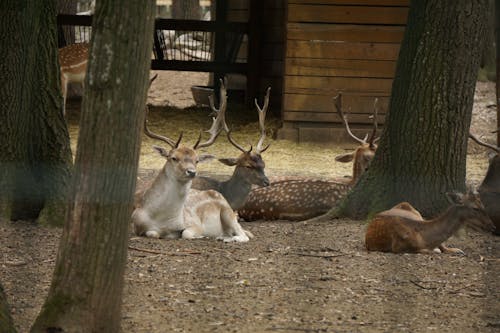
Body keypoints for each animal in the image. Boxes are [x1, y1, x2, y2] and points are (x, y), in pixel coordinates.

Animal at [132, 88, 254, 243]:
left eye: (196, 160)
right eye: (174, 158)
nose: (191, 172)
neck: (161, 218)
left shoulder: (194, 223)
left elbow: (186, 233)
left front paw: (201, 235)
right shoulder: (135, 224)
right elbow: (152, 233)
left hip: (228, 212)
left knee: (244, 235)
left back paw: (225, 238)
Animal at [366, 189, 494, 254]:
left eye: (483, 204)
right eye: (475, 208)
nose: (492, 226)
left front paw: (456, 250)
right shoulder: (398, 247)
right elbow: (434, 251)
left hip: (413, 209)